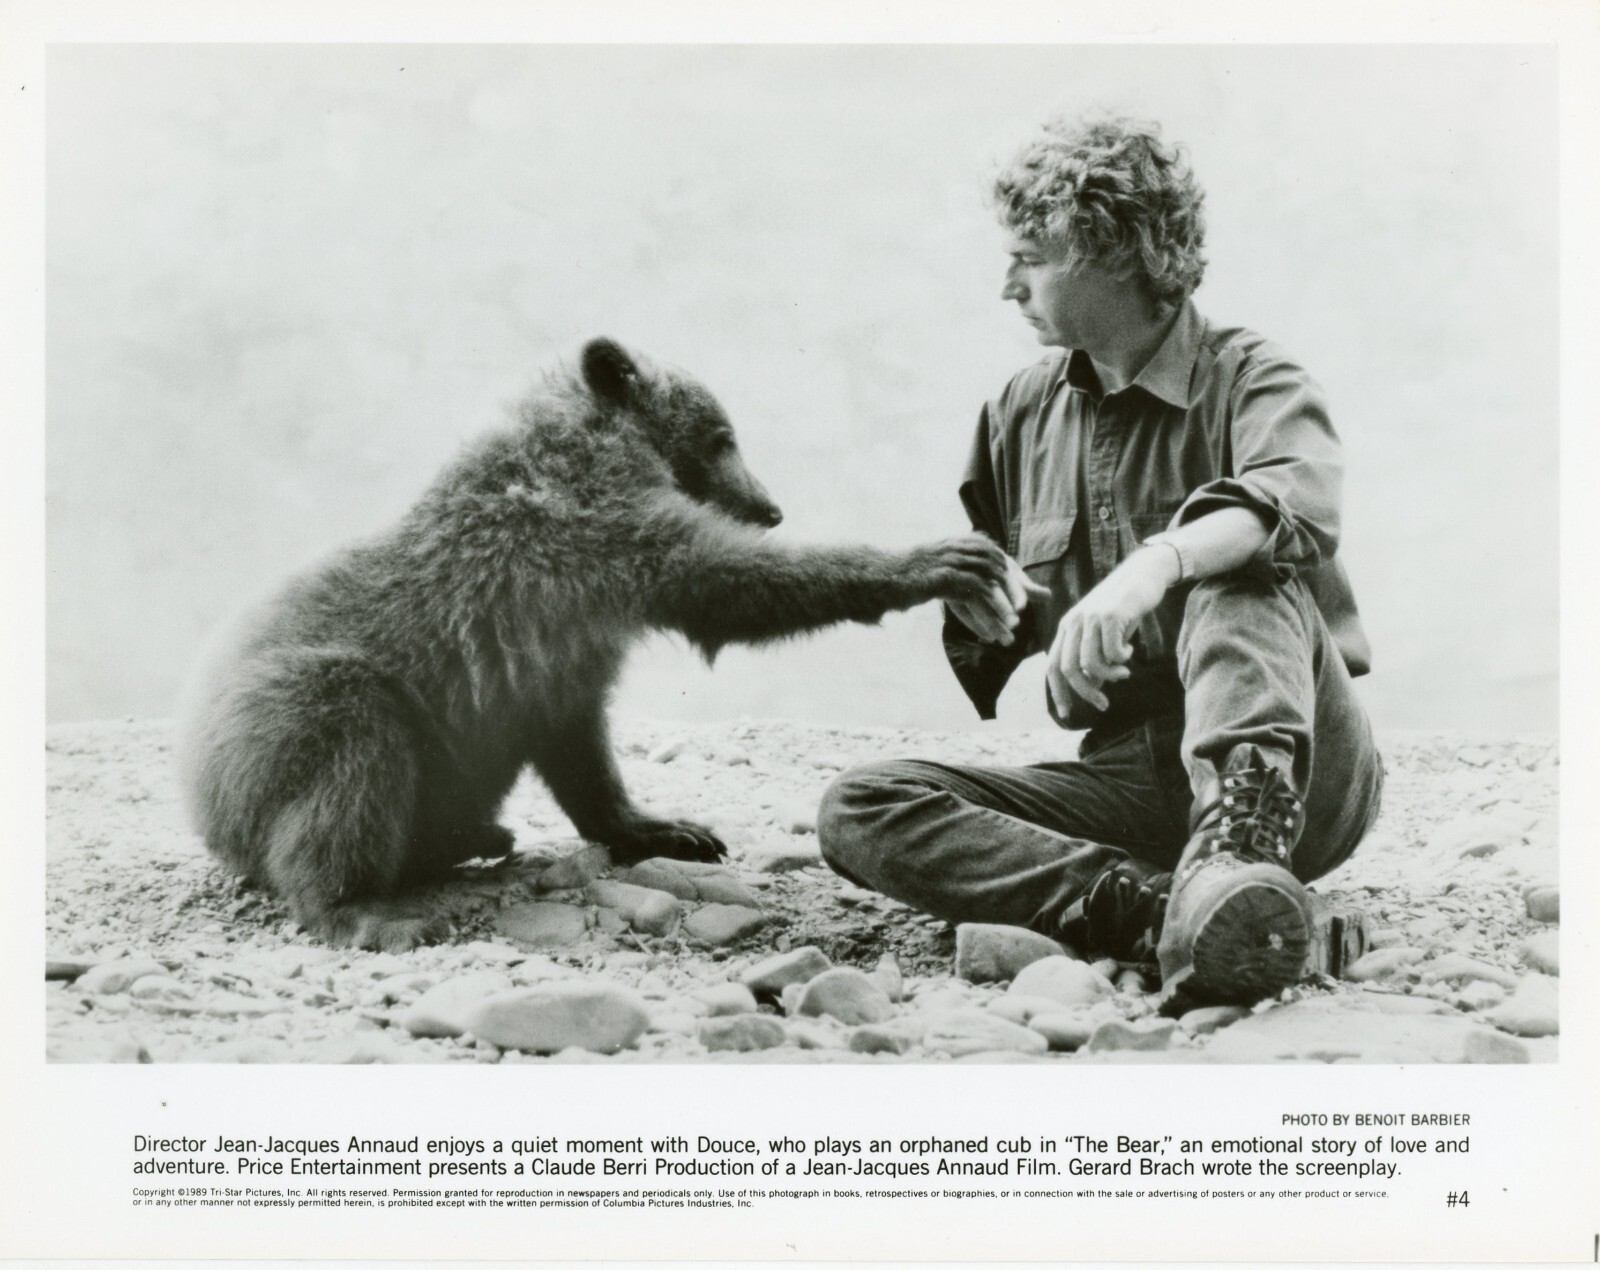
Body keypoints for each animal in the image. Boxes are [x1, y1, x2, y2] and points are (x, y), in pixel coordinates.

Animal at [177, 337, 1011, 951]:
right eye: (724, 436)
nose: (770, 507)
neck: (590, 440)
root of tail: (200, 792)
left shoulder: (557, 650)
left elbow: (580, 746)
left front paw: (667, 827)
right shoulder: (589, 535)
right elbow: (725, 582)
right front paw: (935, 560)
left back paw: (475, 836)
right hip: (293, 716)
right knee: (345, 757)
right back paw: (362, 909)